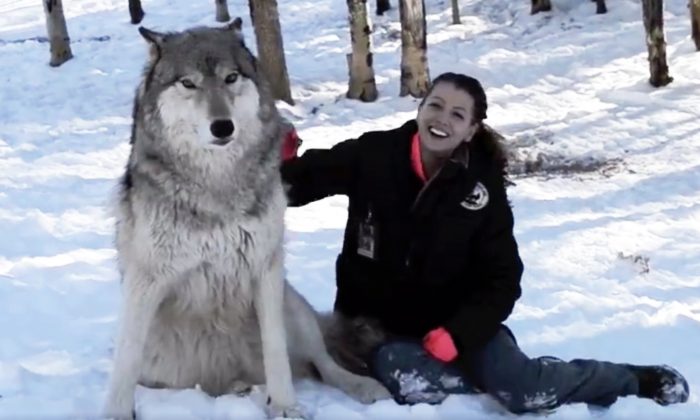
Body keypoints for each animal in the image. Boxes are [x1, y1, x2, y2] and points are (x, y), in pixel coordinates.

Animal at [102, 21, 388, 418]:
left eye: (231, 77)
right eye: (187, 83)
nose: (222, 127)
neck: (216, 185)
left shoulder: (265, 269)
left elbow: (276, 352)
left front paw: (284, 407)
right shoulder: (146, 280)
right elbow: (125, 362)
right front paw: (116, 412)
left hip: (292, 304)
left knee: (323, 363)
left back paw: (362, 387)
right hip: (161, 364)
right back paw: (238, 389)